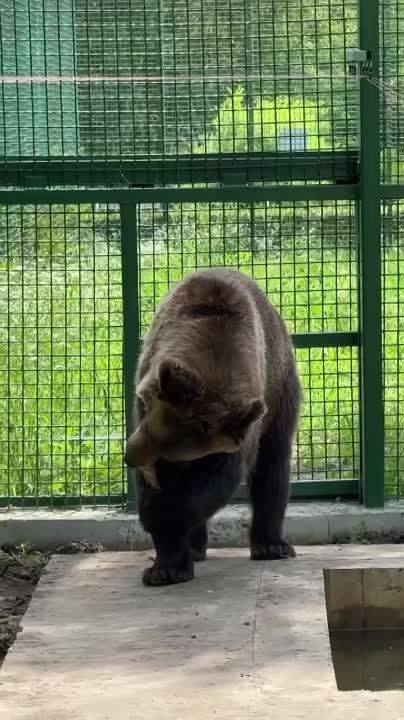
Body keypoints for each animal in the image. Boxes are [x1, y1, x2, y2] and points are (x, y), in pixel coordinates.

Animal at [124, 268, 302, 584]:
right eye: (145, 426)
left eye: (167, 451)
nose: (128, 456)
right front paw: (167, 565)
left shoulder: (239, 425)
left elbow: (213, 481)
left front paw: (166, 541)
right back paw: (196, 548)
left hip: (282, 387)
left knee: (273, 464)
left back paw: (272, 545)